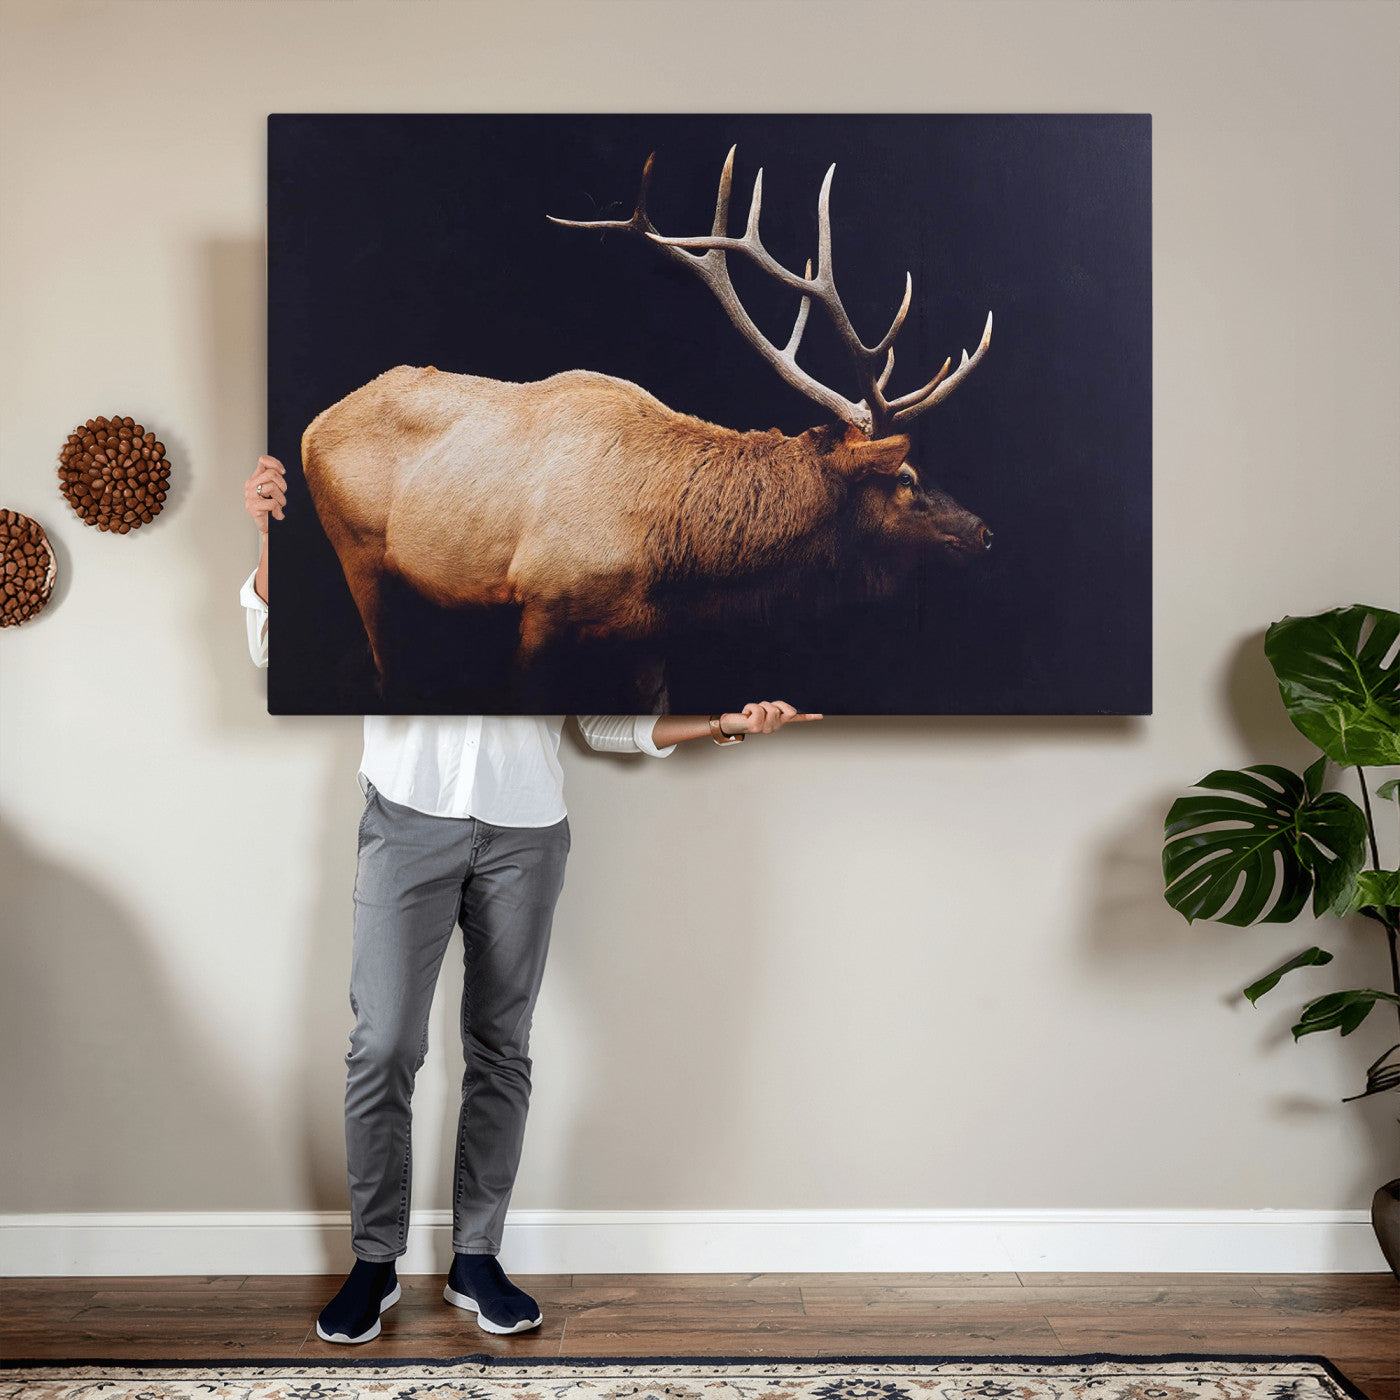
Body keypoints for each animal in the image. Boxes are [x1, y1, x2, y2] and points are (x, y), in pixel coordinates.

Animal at [300, 146, 994, 708]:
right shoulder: (540, 603)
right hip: (357, 553)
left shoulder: (649, 637)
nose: (984, 533)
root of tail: (313, 425)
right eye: (906, 476)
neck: (670, 556)